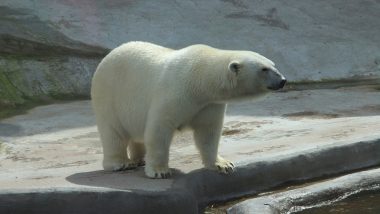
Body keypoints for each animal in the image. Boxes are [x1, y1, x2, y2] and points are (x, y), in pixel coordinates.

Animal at [90, 41, 284, 178]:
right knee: (113, 131)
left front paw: (223, 165)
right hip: (109, 94)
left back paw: (139, 159)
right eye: (264, 69)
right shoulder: (176, 93)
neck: (200, 79)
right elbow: (159, 129)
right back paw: (120, 163)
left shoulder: (209, 104)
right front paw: (160, 171)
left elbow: (208, 133)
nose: (282, 80)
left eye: (274, 64)